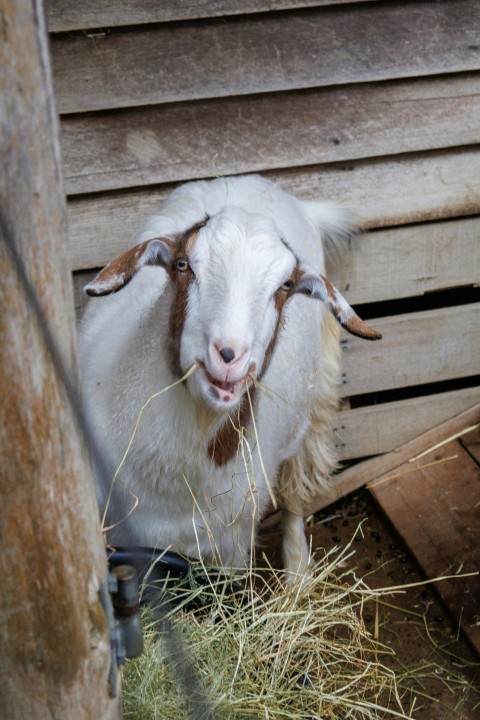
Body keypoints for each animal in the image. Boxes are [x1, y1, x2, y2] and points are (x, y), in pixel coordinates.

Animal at [79, 175, 380, 581]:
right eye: (183, 264)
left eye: (285, 286)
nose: (227, 355)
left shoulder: (231, 547)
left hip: (313, 402)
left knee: (294, 488)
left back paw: (297, 574)